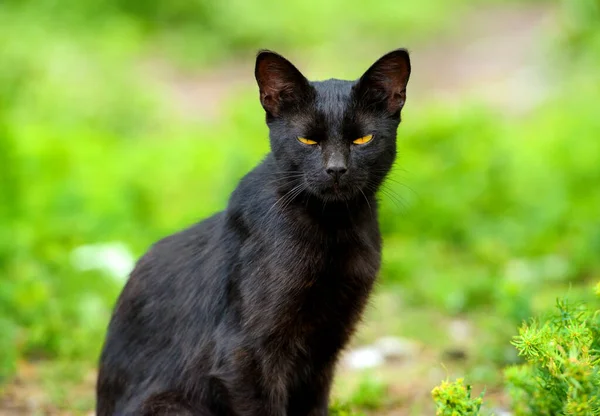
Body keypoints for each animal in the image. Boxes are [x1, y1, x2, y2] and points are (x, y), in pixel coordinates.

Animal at [96, 47, 410, 414]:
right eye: (307, 139)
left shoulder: (326, 346)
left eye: (362, 139)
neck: (334, 229)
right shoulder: (245, 353)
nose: (336, 169)